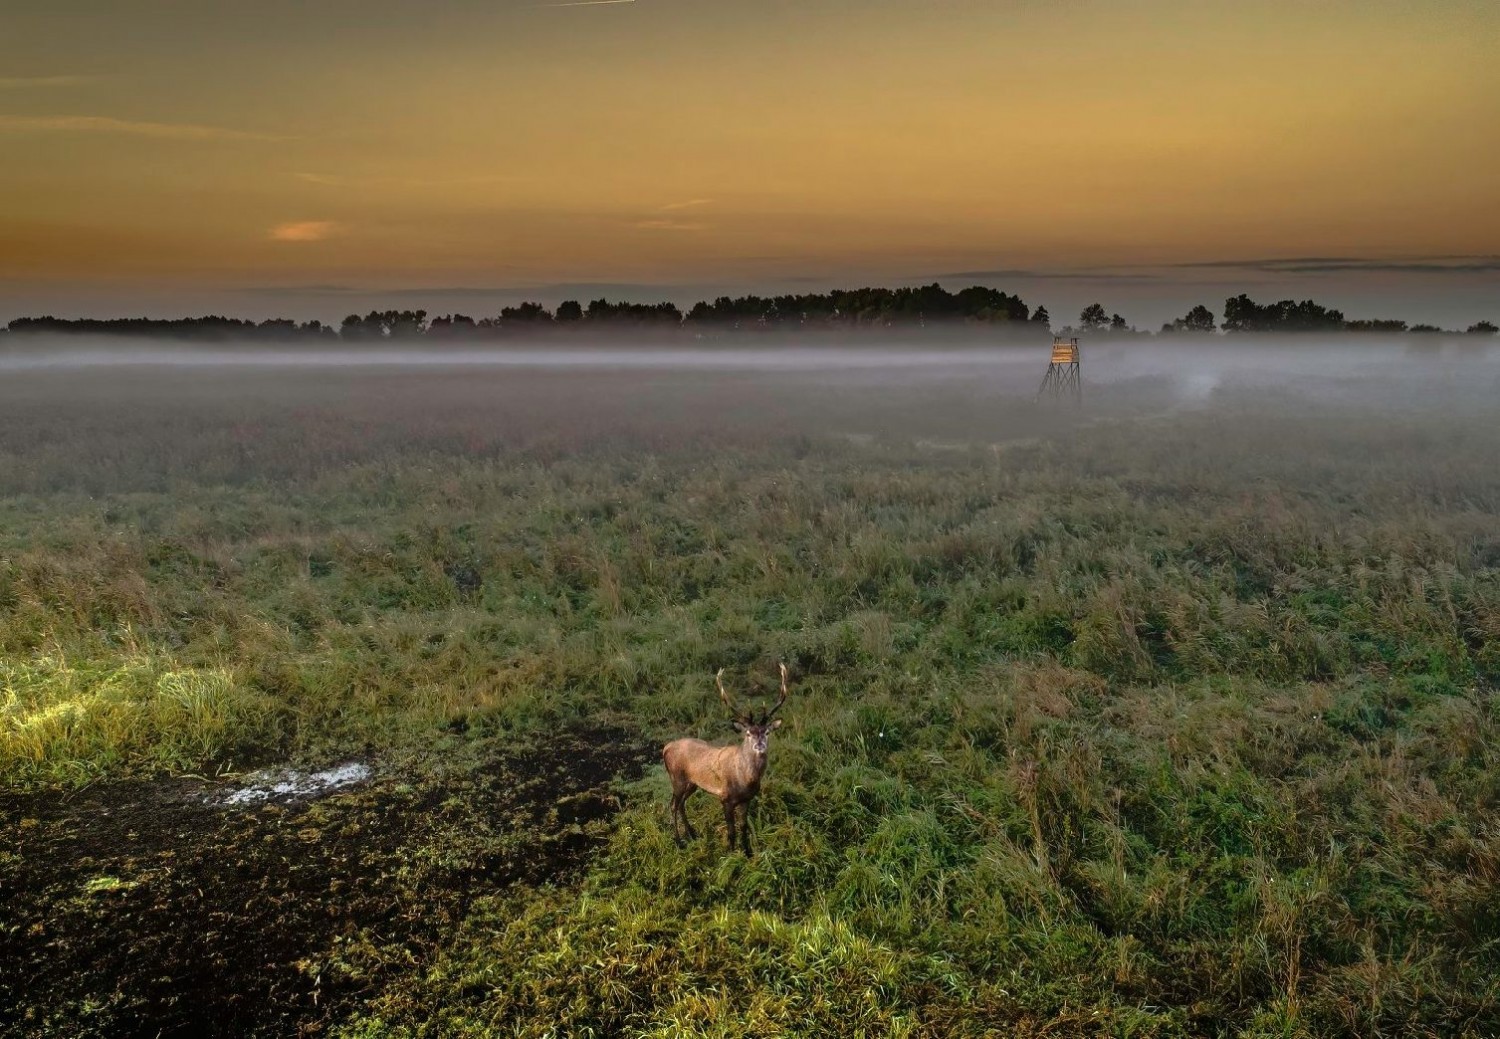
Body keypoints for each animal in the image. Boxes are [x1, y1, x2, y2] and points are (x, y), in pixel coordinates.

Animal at [663, 659, 792, 857]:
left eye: (767, 732)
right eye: (748, 733)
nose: (759, 745)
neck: (747, 780)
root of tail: (666, 747)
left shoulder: (747, 799)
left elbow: (743, 827)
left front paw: (748, 853)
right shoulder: (725, 798)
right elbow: (731, 831)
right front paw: (730, 854)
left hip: (692, 783)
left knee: (682, 803)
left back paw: (692, 833)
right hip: (676, 778)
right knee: (672, 805)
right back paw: (679, 841)